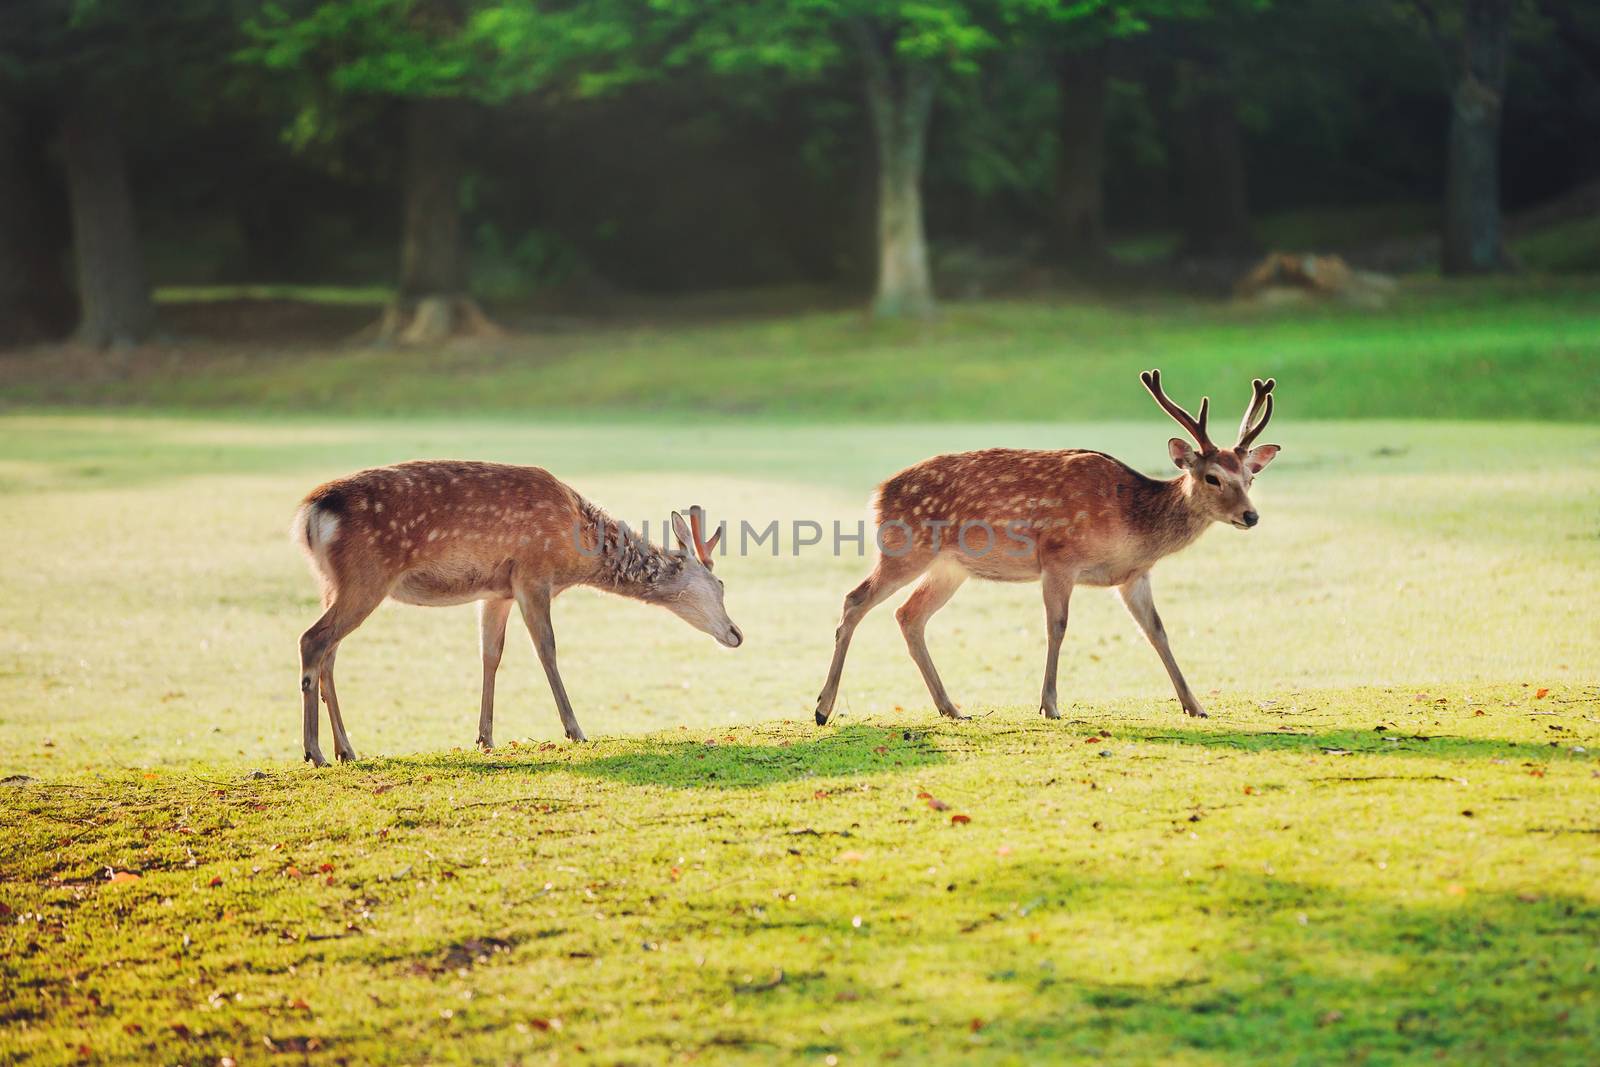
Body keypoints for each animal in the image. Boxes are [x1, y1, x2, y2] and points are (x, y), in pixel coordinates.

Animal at [294, 460, 736, 767]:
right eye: (720, 585)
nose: (736, 633)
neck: (578, 551)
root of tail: (309, 516)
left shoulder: (497, 592)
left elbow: (490, 654)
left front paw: (485, 737)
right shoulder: (533, 574)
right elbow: (547, 650)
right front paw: (575, 730)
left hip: (331, 582)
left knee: (329, 653)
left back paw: (346, 750)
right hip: (366, 575)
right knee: (312, 640)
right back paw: (315, 751)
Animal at [819, 369, 1280, 726]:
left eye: (1250, 477)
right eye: (1212, 477)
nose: (1251, 516)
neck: (1130, 522)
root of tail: (877, 494)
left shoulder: (1133, 576)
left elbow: (1157, 631)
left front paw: (1194, 705)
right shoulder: (1059, 557)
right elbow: (1057, 626)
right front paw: (1050, 705)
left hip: (951, 568)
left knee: (909, 615)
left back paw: (951, 708)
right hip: (904, 547)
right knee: (855, 599)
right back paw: (823, 708)